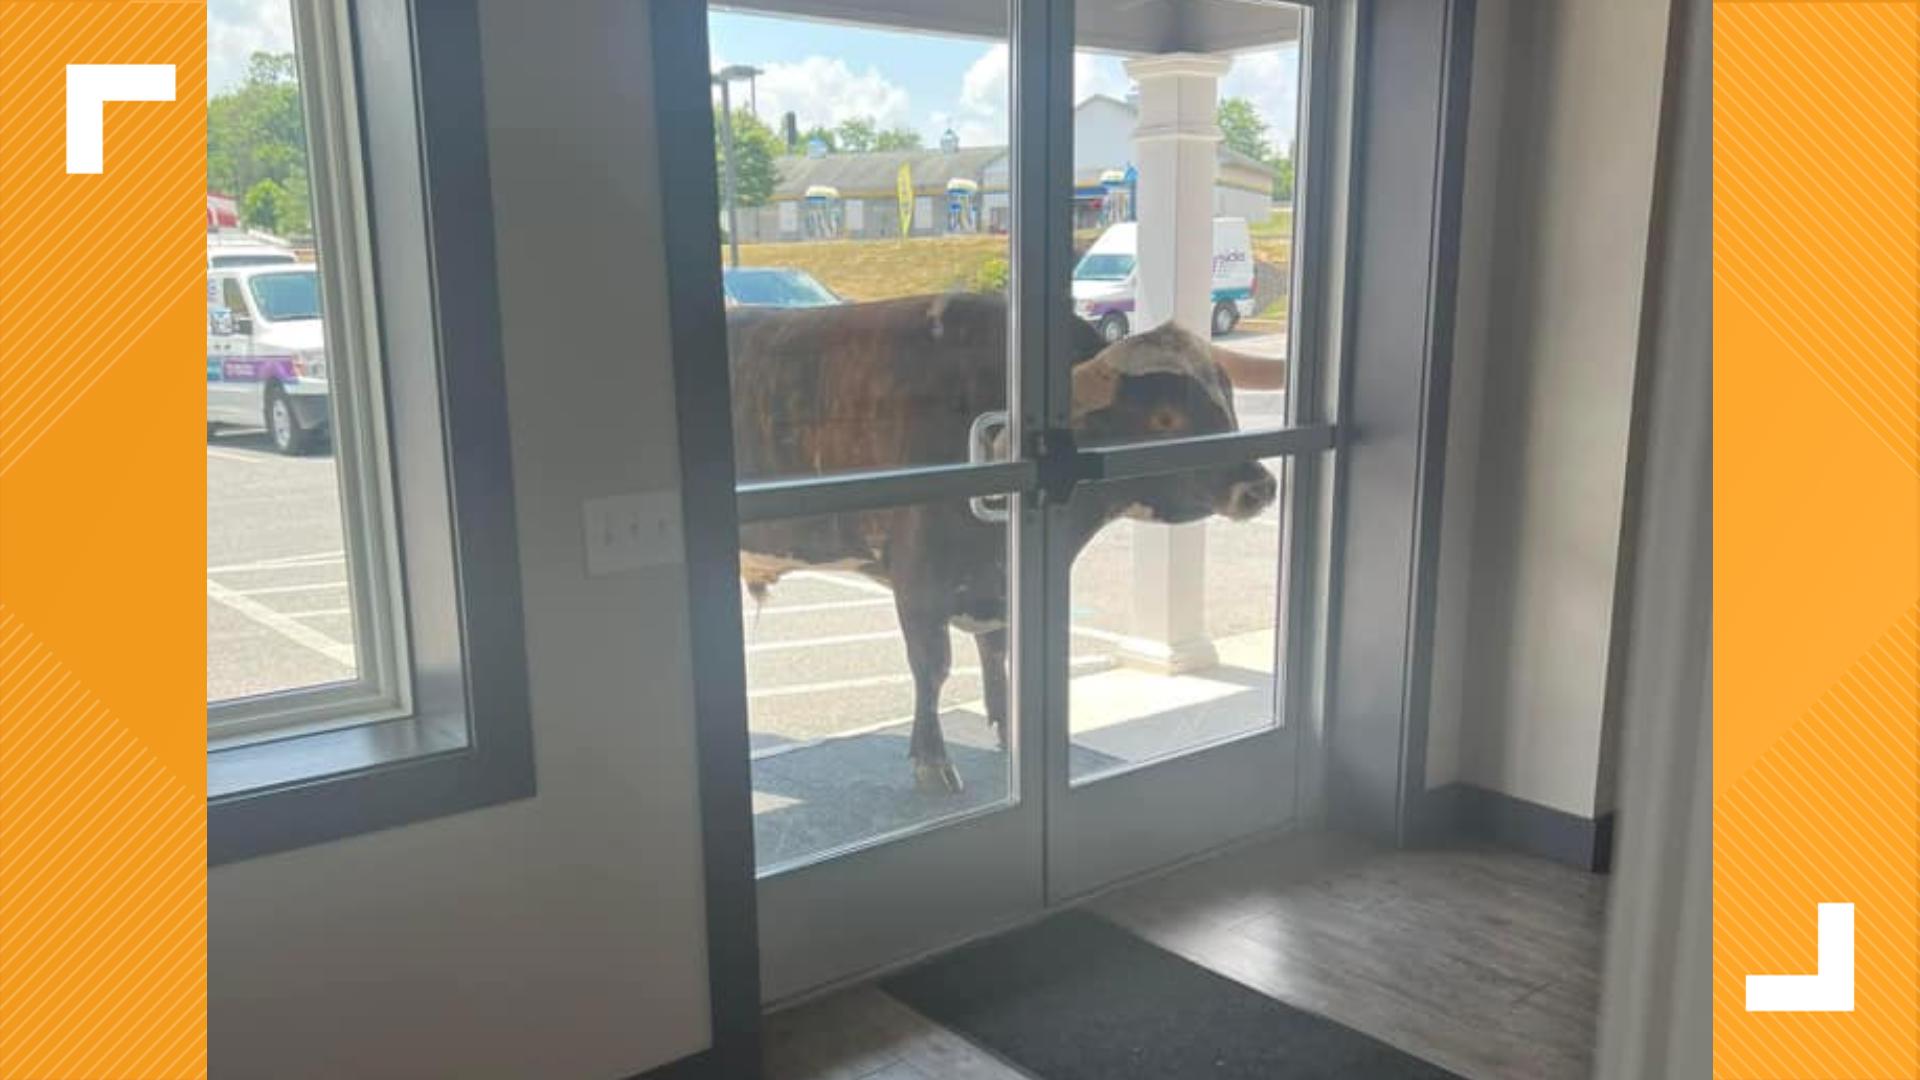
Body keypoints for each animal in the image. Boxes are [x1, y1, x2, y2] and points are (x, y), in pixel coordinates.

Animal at [725, 292, 1282, 791]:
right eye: (1165, 417)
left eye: (1228, 400)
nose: (1260, 486)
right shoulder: (918, 584)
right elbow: (933, 668)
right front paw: (932, 760)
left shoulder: (997, 584)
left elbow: (998, 653)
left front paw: (1009, 729)